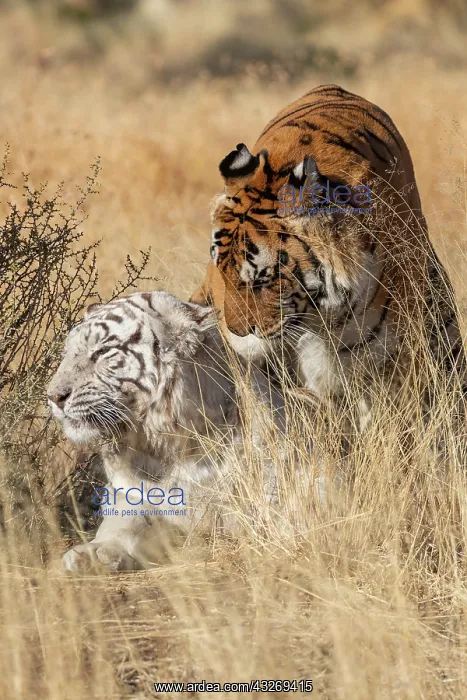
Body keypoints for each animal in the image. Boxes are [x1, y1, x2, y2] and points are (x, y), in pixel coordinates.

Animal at [48, 291, 319, 573]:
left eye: (102, 352)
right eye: (68, 353)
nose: (53, 397)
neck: (170, 445)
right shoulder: (133, 496)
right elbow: (122, 525)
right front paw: (92, 554)